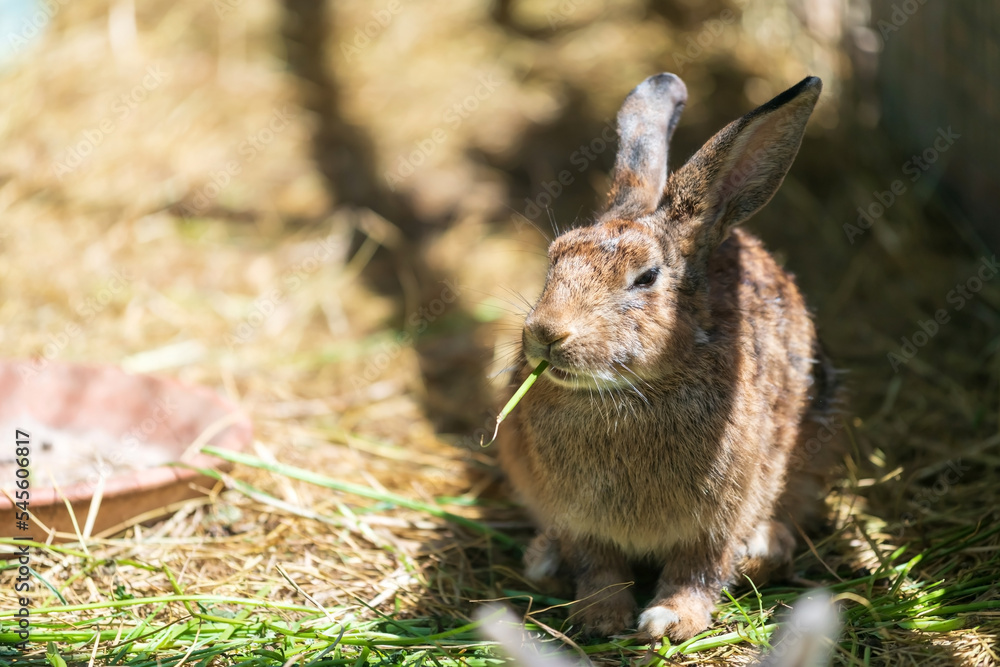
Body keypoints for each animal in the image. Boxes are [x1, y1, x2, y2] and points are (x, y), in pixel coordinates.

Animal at [498, 72, 843, 642]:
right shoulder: (578, 520)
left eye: (647, 278)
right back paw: (543, 560)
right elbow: (599, 566)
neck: (631, 391)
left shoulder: (721, 514)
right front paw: (601, 615)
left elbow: (700, 567)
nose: (546, 334)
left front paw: (670, 620)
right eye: (554, 260)